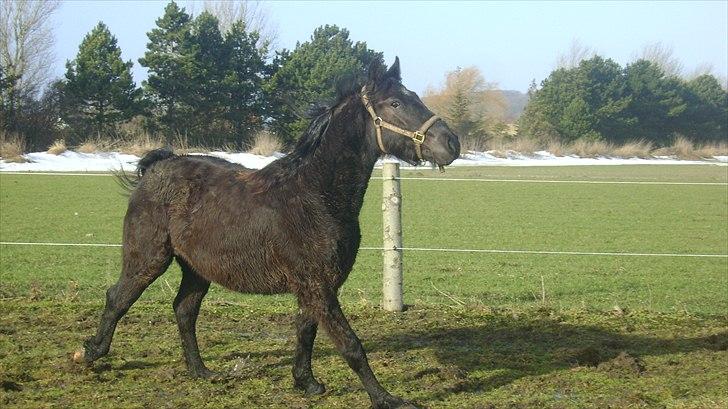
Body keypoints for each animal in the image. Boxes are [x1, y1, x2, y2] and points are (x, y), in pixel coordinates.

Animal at [75, 58, 460, 408]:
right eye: (394, 103)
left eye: (414, 96)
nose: (452, 143)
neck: (316, 196)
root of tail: (156, 167)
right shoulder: (317, 285)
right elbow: (350, 344)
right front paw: (388, 399)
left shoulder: (316, 285)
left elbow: (306, 330)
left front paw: (306, 383)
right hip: (148, 258)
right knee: (117, 298)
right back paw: (90, 355)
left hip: (196, 269)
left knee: (184, 310)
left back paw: (201, 371)